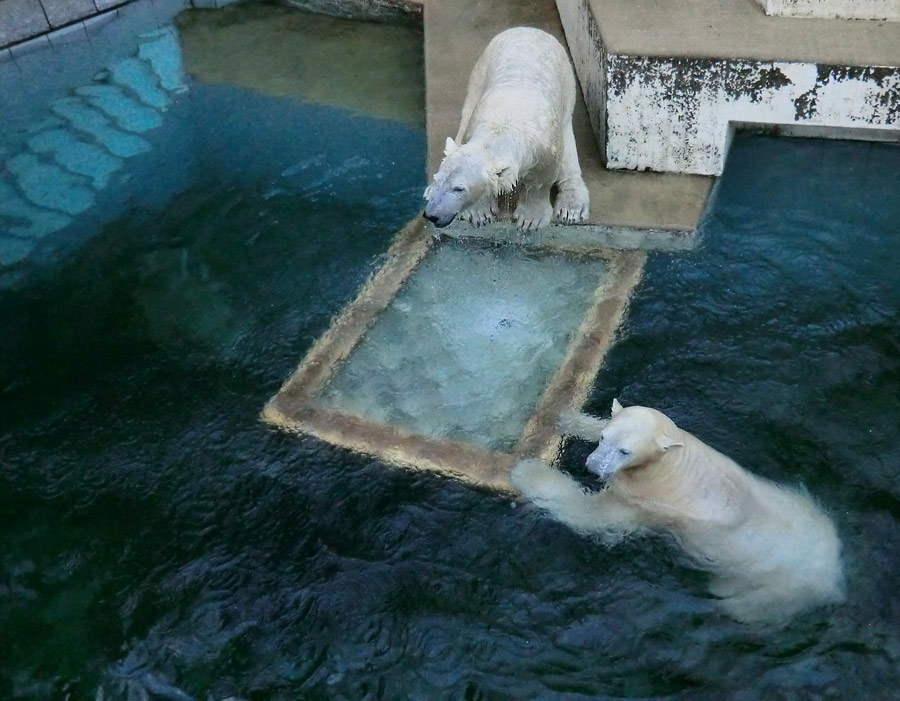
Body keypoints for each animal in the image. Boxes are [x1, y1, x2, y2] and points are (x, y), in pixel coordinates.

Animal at [424, 26, 592, 230]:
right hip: (481, 70)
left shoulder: (547, 144)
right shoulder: (475, 124)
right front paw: (480, 213)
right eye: (438, 178)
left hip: (567, 87)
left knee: (569, 152)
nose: (431, 215)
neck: (502, 128)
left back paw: (571, 208)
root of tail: (528, 29)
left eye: (459, 188)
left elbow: (541, 179)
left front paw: (530, 219)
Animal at [510, 400, 848, 624]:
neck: (669, 464)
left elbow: (596, 517)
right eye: (606, 438)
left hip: (771, 587)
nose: (592, 468)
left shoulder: (645, 501)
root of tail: (834, 579)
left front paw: (526, 471)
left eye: (625, 451)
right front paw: (563, 418)